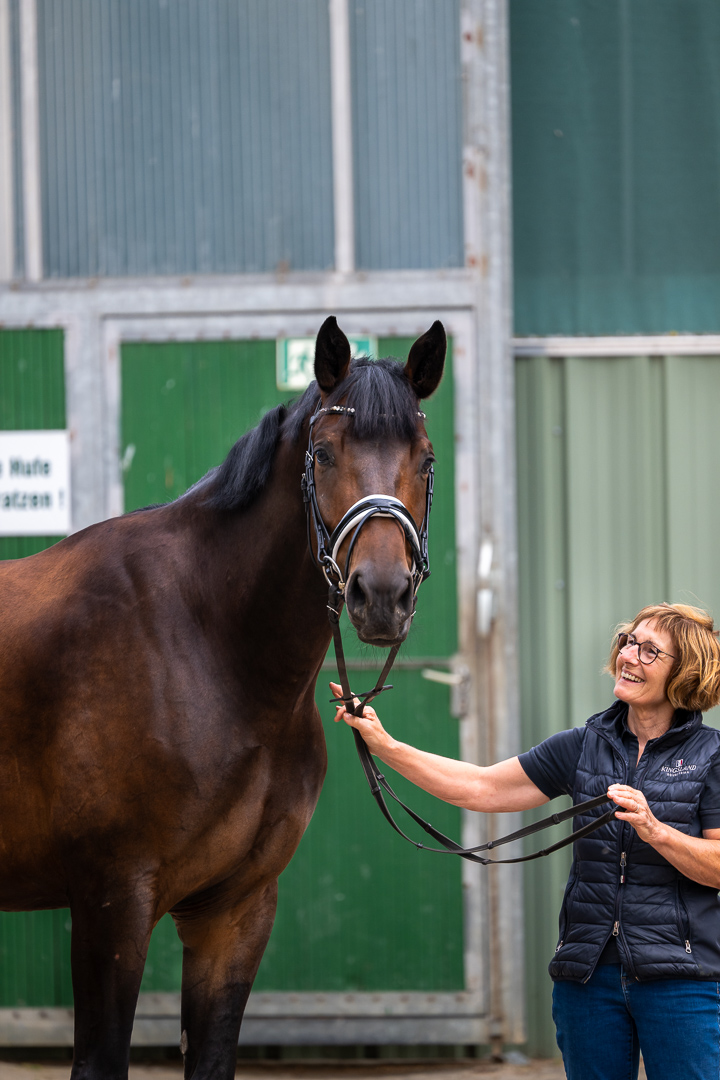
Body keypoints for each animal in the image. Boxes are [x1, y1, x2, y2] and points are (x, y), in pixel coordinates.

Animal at [0, 316, 446, 1080]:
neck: (207, 643)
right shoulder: (110, 904)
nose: (382, 594)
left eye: (425, 460)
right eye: (323, 454)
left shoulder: (233, 912)